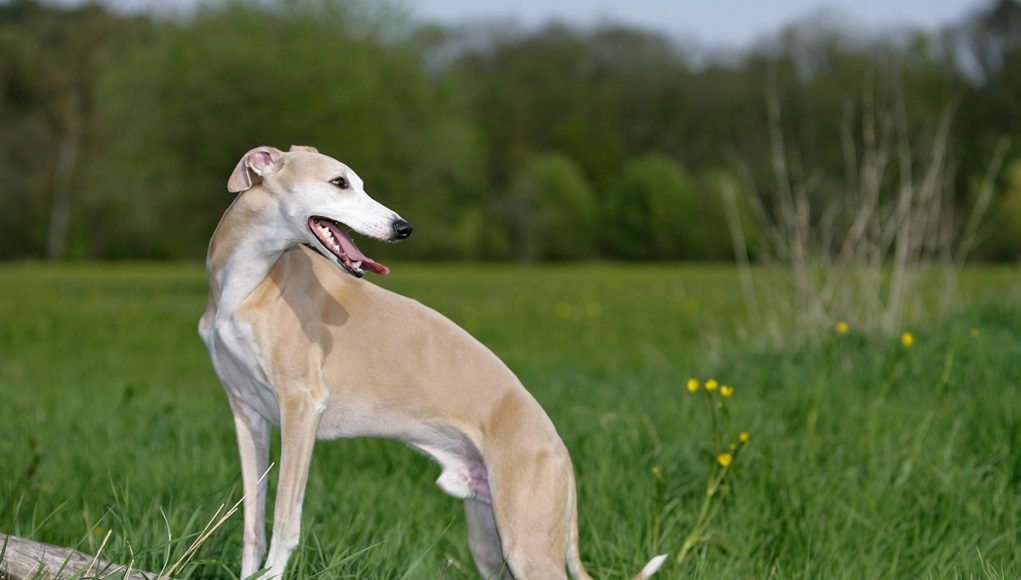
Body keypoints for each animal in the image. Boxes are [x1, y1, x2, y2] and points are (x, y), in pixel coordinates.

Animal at [201, 146, 669, 580]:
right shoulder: (247, 414)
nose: (403, 228)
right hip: (488, 538)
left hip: (528, 539)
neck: (250, 283)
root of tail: (560, 451)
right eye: (339, 182)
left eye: (356, 182)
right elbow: (253, 524)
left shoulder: (302, 405)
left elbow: (285, 521)